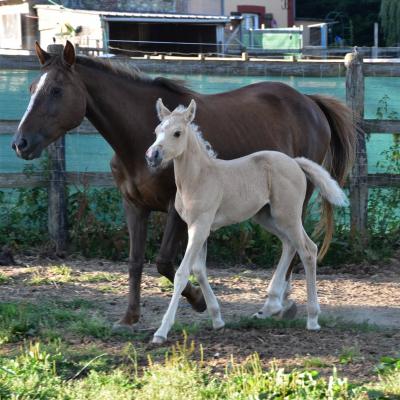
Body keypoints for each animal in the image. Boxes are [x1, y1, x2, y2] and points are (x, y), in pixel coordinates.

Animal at [145, 97, 348, 344]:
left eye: (177, 133)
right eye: (157, 131)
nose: (152, 156)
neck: (199, 177)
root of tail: (295, 162)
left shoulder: (200, 226)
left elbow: (182, 273)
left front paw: (161, 331)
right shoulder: (199, 227)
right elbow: (199, 270)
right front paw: (217, 319)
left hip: (288, 215)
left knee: (308, 250)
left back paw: (312, 318)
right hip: (268, 217)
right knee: (289, 245)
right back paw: (271, 305)